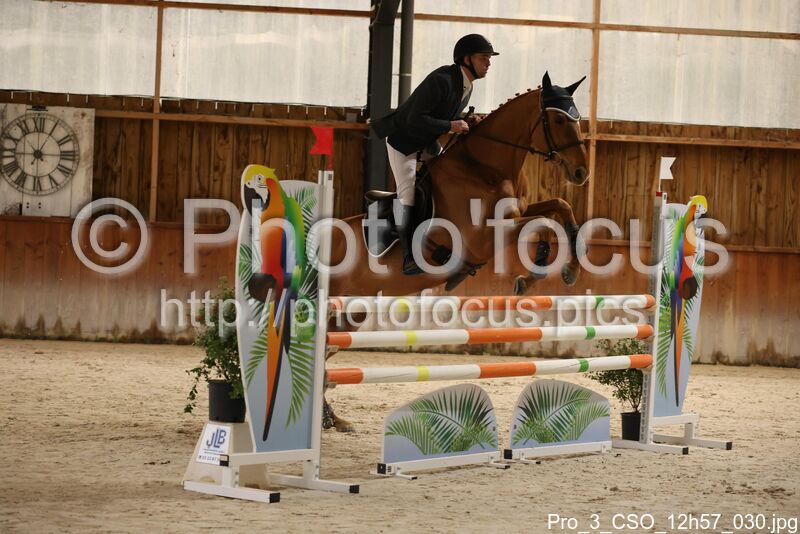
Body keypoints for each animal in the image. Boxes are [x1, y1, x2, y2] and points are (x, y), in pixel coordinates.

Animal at [323, 72, 590, 431]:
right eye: (560, 119)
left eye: (577, 118)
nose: (581, 173)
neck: (485, 168)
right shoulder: (485, 238)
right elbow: (545, 224)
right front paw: (532, 274)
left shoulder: (518, 213)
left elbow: (559, 207)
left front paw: (569, 269)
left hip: (352, 312)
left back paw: (332, 419)